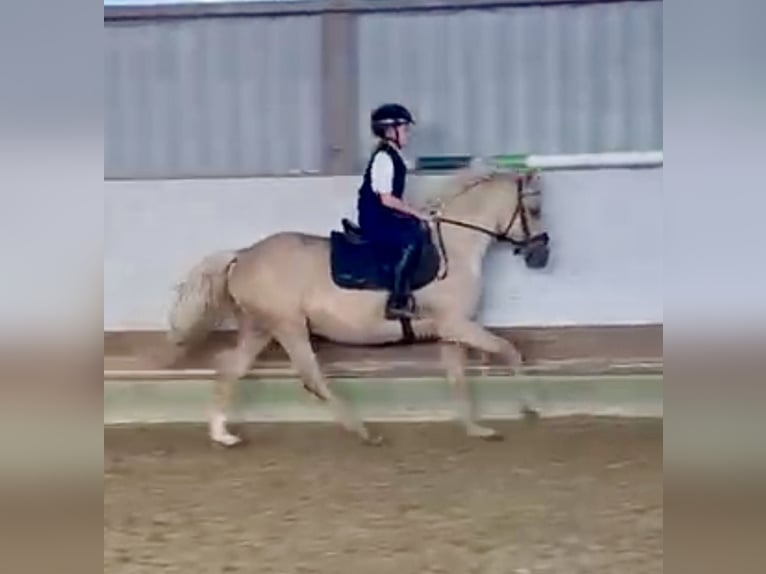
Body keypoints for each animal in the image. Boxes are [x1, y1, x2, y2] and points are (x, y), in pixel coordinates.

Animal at [166, 167, 551, 446]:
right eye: (534, 210)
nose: (541, 256)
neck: (455, 250)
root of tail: (243, 254)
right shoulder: (457, 324)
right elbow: (510, 350)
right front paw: (530, 406)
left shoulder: (451, 332)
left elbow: (458, 379)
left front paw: (476, 429)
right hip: (288, 325)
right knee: (311, 376)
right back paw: (365, 432)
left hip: (259, 327)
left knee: (230, 367)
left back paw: (223, 435)